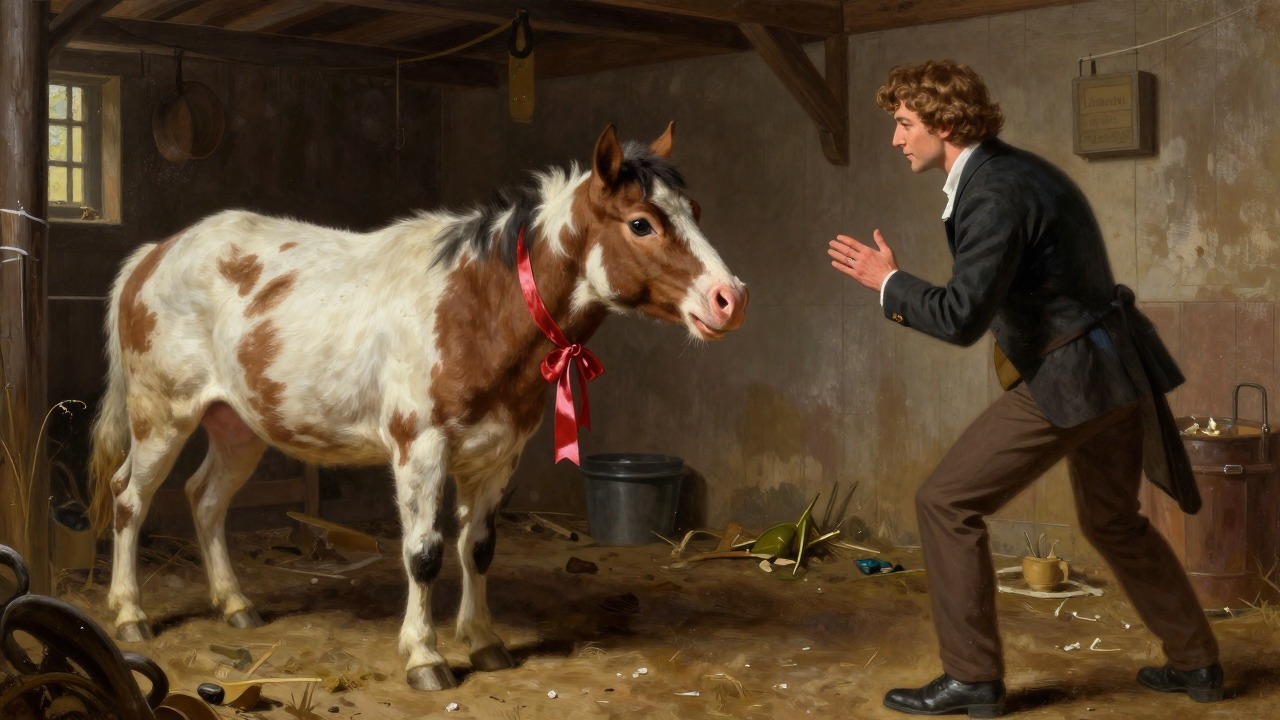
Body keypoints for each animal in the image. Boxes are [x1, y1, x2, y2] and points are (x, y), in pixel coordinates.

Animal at [88, 123, 748, 691]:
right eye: (640, 223)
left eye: (693, 213)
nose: (730, 299)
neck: (475, 306)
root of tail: (153, 255)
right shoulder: (421, 448)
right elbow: (424, 553)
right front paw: (426, 657)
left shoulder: (498, 456)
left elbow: (477, 547)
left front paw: (484, 643)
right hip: (163, 416)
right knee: (130, 498)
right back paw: (130, 614)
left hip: (237, 426)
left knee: (205, 500)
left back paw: (235, 604)